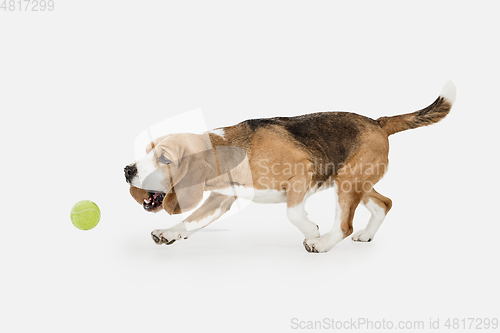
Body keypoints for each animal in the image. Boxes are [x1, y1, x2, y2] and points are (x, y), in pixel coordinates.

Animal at [125, 82, 458, 252]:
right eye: (148, 151)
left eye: (164, 159)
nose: (127, 170)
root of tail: (377, 122)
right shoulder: (222, 198)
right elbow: (192, 220)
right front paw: (170, 232)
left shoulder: (302, 172)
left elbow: (293, 212)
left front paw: (312, 231)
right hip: (356, 181)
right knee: (384, 202)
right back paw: (366, 235)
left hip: (348, 183)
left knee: (345, 225)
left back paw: (323, 243)